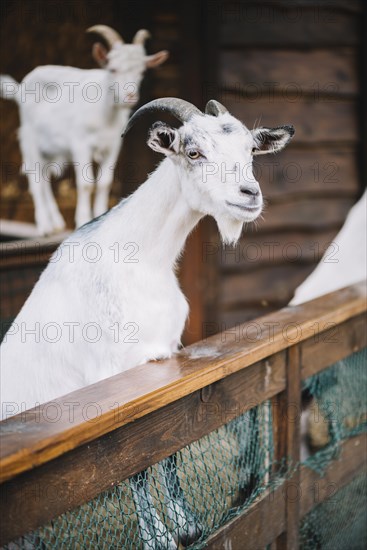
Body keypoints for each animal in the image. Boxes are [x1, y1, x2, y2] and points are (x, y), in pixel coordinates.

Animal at [0, 24, 169, 236]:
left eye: (141, 71)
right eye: (112, 69)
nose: (130, 96)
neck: (106, 115)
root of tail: (20, 88)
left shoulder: (113, 145)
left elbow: (104, 182)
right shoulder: (81, 143)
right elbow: (86, 184)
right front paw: (82, 220)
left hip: (49, 149)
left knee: (44, 177)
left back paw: (55, 223)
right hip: (29, 138)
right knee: (35, 178)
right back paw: (45, 225)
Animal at [0, 97, 294, 548]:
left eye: (249, 151)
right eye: (193, 152)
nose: (250, 195)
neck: (141, 260)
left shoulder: (164, 359)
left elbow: (166, 444)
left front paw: (187, 525)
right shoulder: (112, 376)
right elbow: (134, 460)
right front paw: (160, 538)